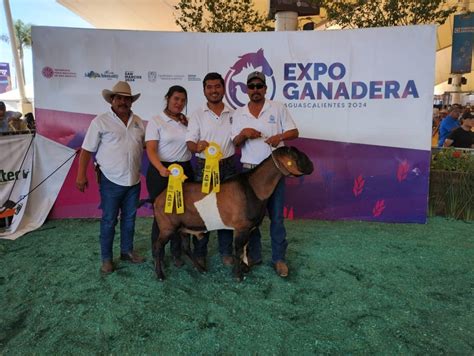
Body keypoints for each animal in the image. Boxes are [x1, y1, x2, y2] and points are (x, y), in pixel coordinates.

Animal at [153, 145, 314, 280]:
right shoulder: (241, 227)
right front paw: (238, 275)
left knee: (186, 247)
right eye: (295, 154)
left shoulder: (248, 228)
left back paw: (201, 268)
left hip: (183, 227)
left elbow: (244, 249)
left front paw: (245, 268)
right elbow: (238, 250)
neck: (255, 187)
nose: (312, 165)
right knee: (158, 247)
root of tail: (158, 198)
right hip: (167, 227)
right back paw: (160, 274)